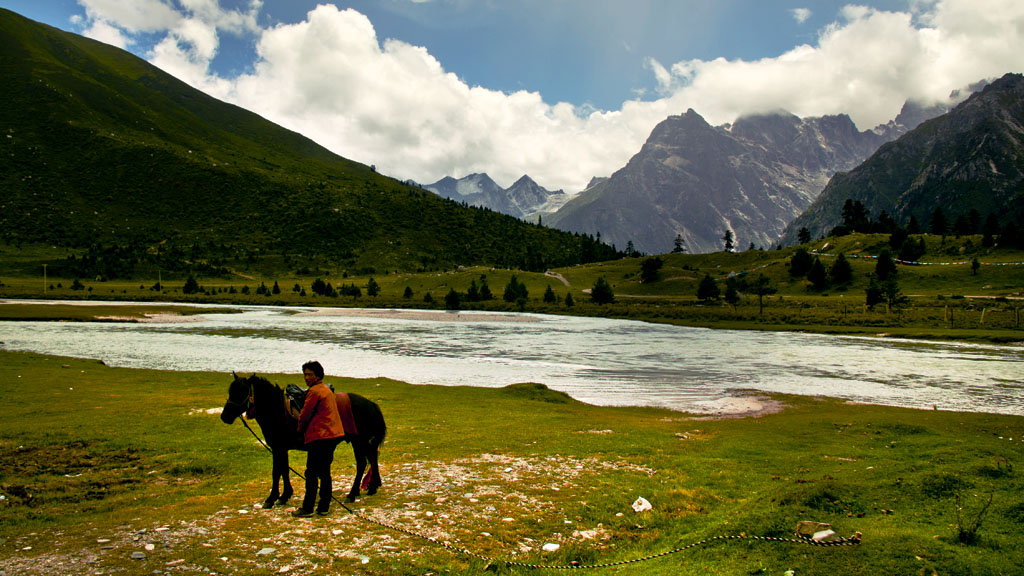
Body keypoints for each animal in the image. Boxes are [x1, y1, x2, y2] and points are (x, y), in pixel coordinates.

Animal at [222, 368, 385, 504]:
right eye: (231, 391)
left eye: (242, 392)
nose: (225, 417)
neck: (277, 411)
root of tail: (371, 404)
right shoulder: (281, 448)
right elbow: (284, 470)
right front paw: (285, 495)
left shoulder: (278, 448)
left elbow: (277, 471)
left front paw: (273, 498)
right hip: (363, 442)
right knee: (372, 459)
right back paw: (370, 488)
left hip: (359, 441)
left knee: (362, 463)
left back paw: (352, 494)